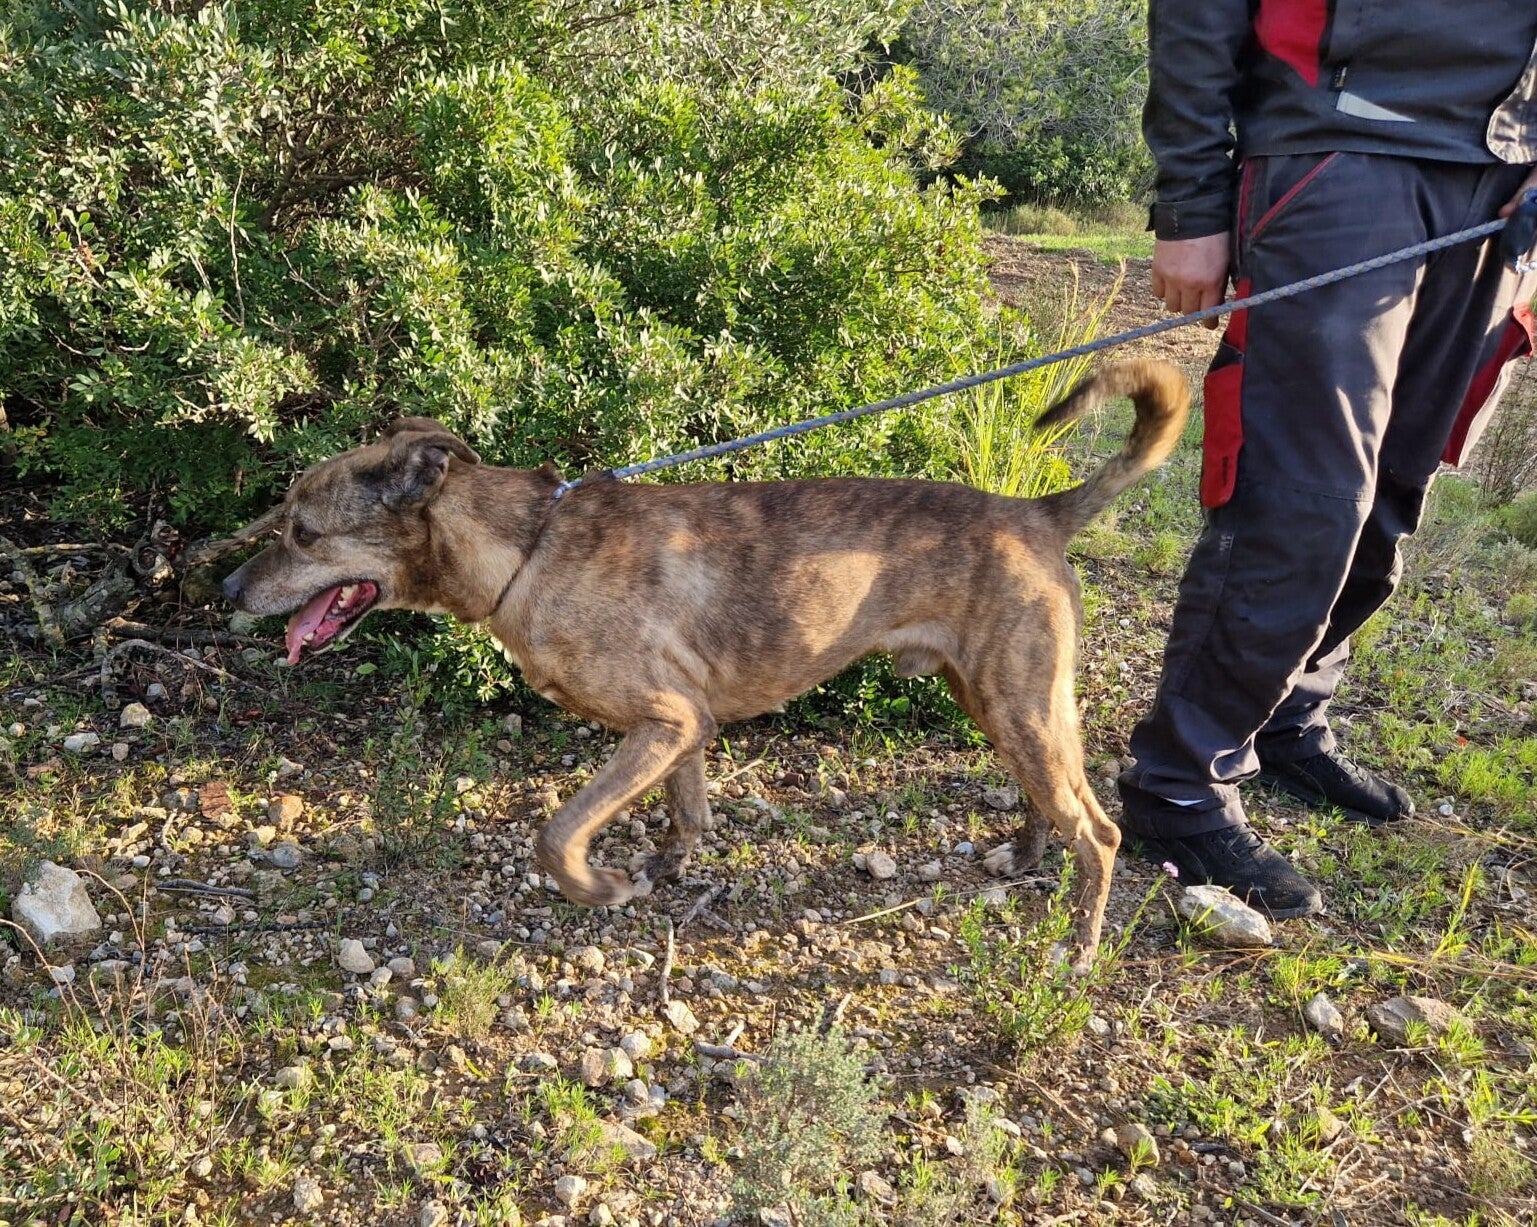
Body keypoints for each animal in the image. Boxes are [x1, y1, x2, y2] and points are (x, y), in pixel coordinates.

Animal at [221, 359, 1188, 970]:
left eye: (303, 533)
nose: (225, 586)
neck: (526, 549)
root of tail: (1039, 511)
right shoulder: (687, 726)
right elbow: (686, 813)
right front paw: (663, 868)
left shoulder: (665, 719)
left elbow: (556, 831)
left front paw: (599, 885)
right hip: (1000, 701)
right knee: (1053, 802)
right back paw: (1021, 856)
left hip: (1016, 701)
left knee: (1100, 832)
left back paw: (1078, 948)